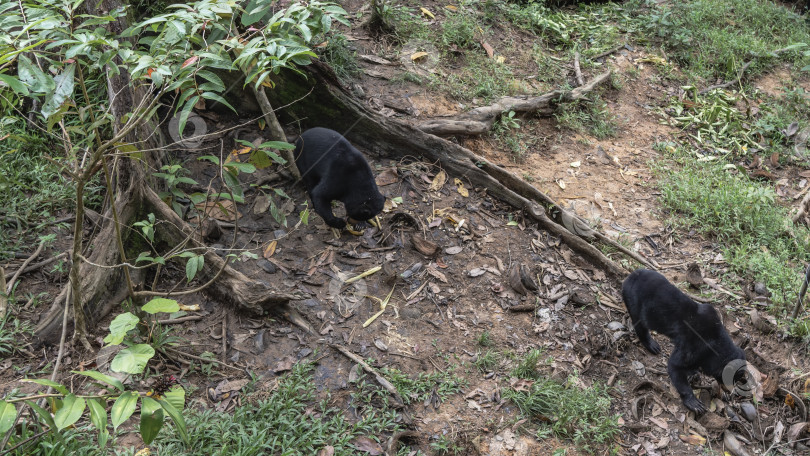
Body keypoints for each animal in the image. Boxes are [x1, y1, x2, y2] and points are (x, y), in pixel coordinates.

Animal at [620, 268, 744, 416]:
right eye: (728, 380)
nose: (730, 393)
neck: (717, 342)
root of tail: (629, 277)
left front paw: (694, 373)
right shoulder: (693, 347)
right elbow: (675, 366)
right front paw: (695, 404)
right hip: (634, 302)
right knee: (640, 324)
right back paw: (653, 346)